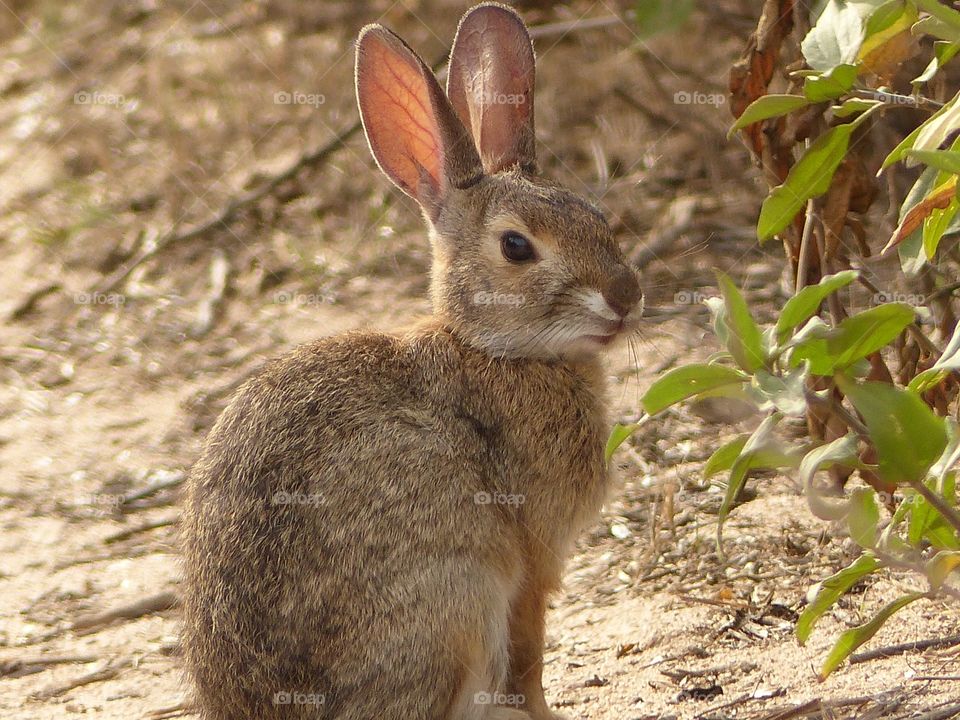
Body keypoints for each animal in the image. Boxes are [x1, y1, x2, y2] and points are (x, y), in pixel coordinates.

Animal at [180, 3, 643, 719]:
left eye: (598, 216)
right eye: (516, 247)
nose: (627, 298)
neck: (492, 349)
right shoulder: (530, 562)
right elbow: (529, 660)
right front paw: (547, 715)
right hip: (455, 607)